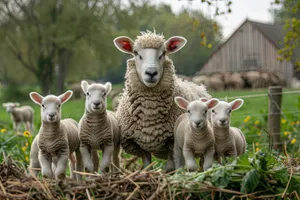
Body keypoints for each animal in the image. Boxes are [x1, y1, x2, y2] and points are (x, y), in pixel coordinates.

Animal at [113, 30, 211, 172]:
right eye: (136, 52)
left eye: (163, 53)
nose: (151, 72)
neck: (150, 110)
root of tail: (200, 87)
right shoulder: (139, 144)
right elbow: (147, 167)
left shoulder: (172, 142)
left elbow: (170, 167)